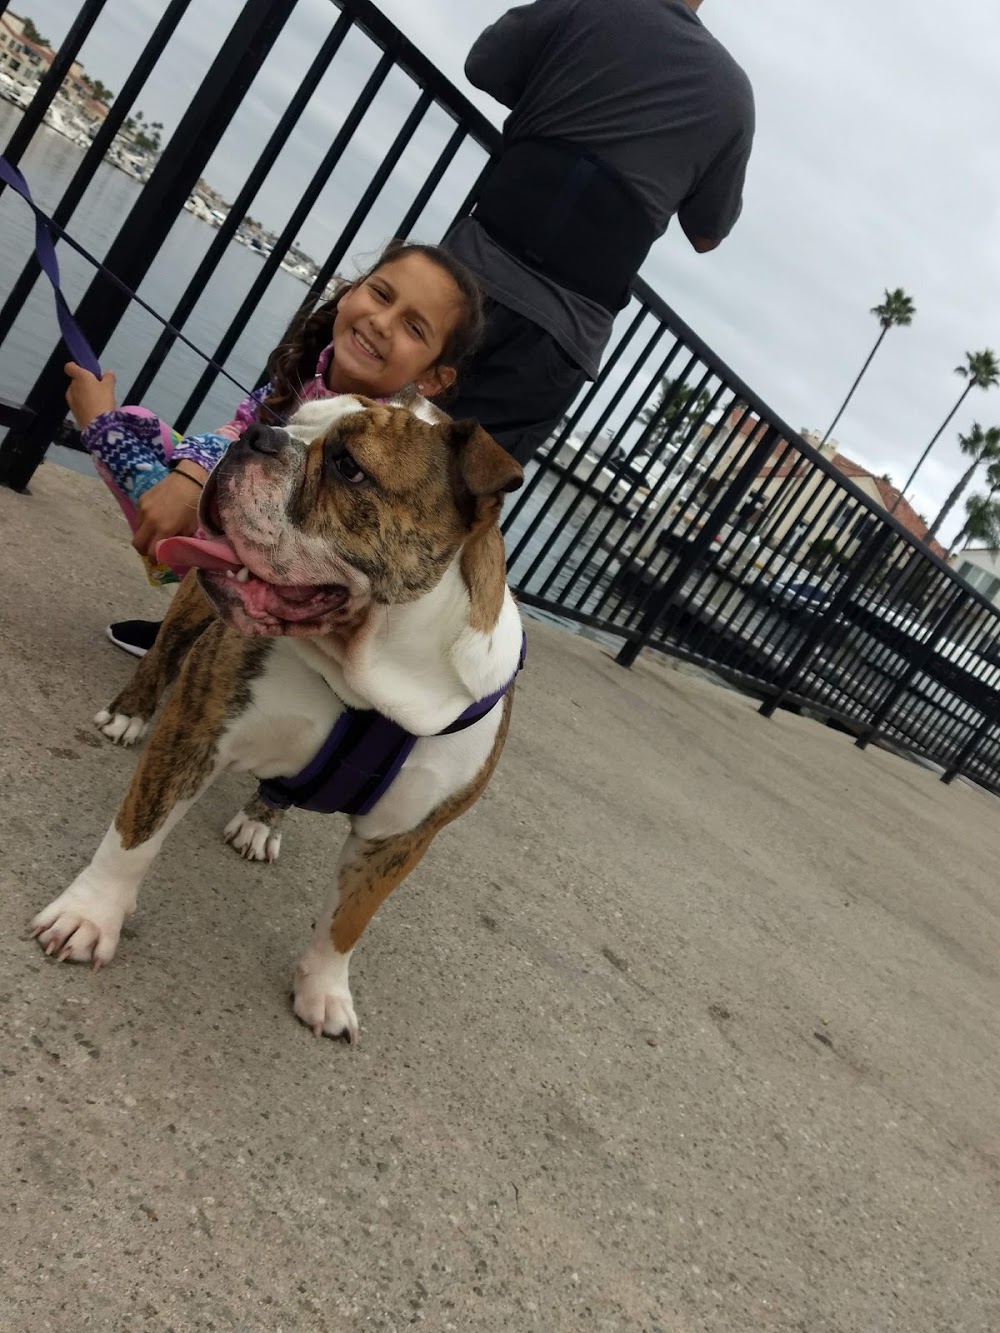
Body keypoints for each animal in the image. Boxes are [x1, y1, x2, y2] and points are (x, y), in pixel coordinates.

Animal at [32, 391, 528, 1039]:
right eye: (292, 419)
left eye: (348, 467)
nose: (258, 436)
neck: (372, 681)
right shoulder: (195, 734)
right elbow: (133, 838)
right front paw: (88, 916)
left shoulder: (401, 838)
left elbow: (348, 923)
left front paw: (325, 992)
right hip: (193, 605)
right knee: (164, 652)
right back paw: (129, 714)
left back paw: (262, 817)